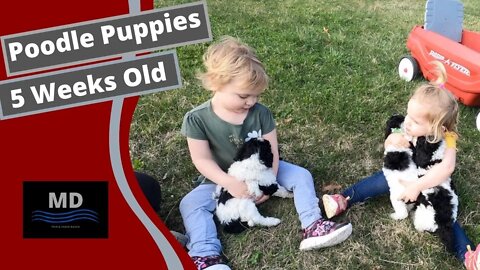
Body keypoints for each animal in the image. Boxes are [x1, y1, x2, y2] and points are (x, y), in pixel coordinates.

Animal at [382, 114, 458, 251]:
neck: (433, 162)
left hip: (406, 205)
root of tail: (442, 223)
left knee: (405, 215)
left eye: (422, 141)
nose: (421, 136)